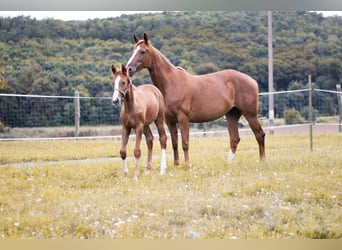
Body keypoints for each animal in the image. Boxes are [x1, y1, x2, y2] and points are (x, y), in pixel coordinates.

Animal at [125, 33, 264, 166]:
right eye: (133, 50)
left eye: (143, 51)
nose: (129, 69)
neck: (172, 83)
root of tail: (252, 80)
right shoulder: (170, 121)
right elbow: (174, 143)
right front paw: (176, 164)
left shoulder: (183, 118)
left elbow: (185, 143)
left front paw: (187, 164)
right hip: (232, 115)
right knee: (234, 139)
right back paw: (229, 163)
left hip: (250, 114)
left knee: (259, 135)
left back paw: (263, 160)